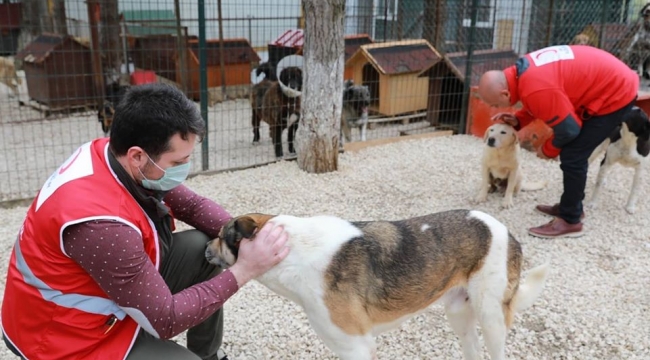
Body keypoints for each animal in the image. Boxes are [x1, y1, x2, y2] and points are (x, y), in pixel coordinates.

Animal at [206, 210, 548, 358]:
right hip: (459, 313)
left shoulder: (358, 346)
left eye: (222, 236)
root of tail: (506, 230)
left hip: (491, 317)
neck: (295, 250)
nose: (206, 248)